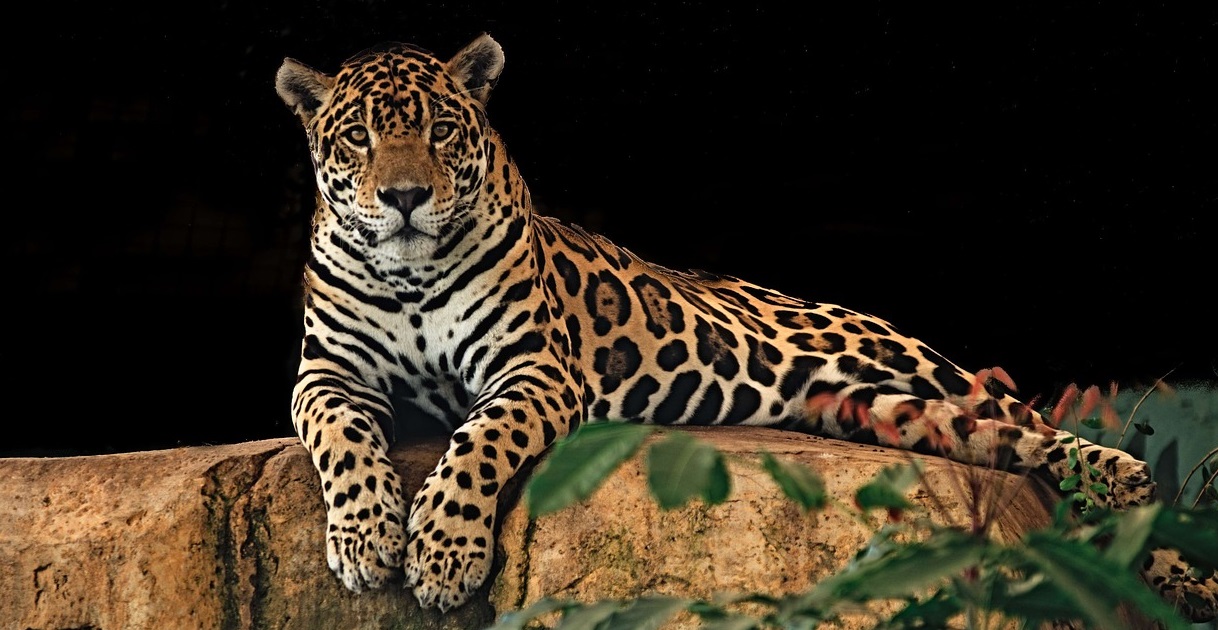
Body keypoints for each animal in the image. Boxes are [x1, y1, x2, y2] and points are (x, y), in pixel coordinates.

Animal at [274, 33, 1216, 621]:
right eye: (357, 138)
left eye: (439, 129)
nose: (404, 196)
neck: (409, 275)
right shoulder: (327, 374)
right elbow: (340, 439)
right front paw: (365, 540)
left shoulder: (532, 369)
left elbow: (477, 445)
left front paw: (440, 555)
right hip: (889, 413)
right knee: (1024, 446)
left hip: (912, 363)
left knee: (1053, 430)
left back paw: (1169, 549)